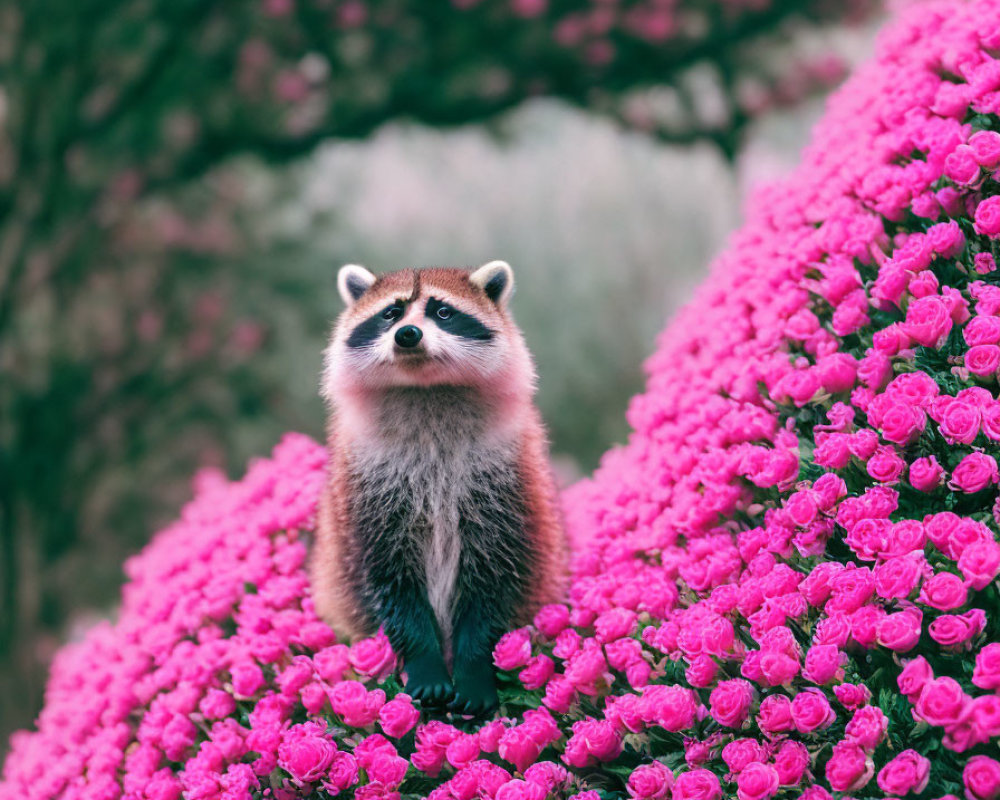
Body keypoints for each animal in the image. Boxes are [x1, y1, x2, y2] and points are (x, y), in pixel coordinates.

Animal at [308, 260, 568, 712]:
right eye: (391, 314)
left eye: (443, 312)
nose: (407, 334)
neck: (425, 389)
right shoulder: (369, 491)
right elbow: (388, 577)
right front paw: (424, 660)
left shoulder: (503, 483)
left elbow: (494, 576)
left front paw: (474, 664)